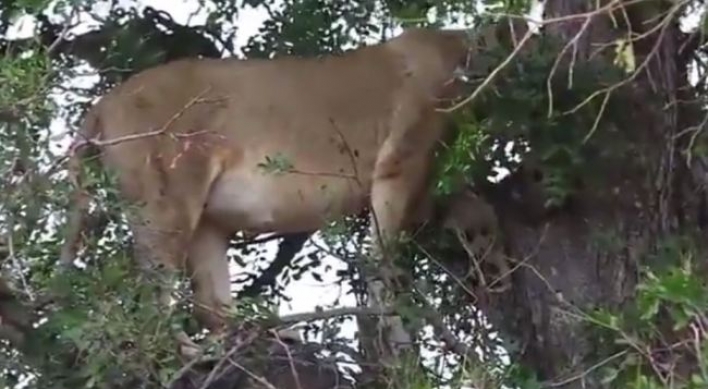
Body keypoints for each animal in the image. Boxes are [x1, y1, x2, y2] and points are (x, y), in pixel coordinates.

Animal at [62, 27, 476, 358]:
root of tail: (103, 103)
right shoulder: (403, 158)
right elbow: (382, 259)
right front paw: (398, 336)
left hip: (206, 220)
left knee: (211, 305)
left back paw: (264, 337)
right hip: (167, 199)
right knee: (153, 296)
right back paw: (188, 350)